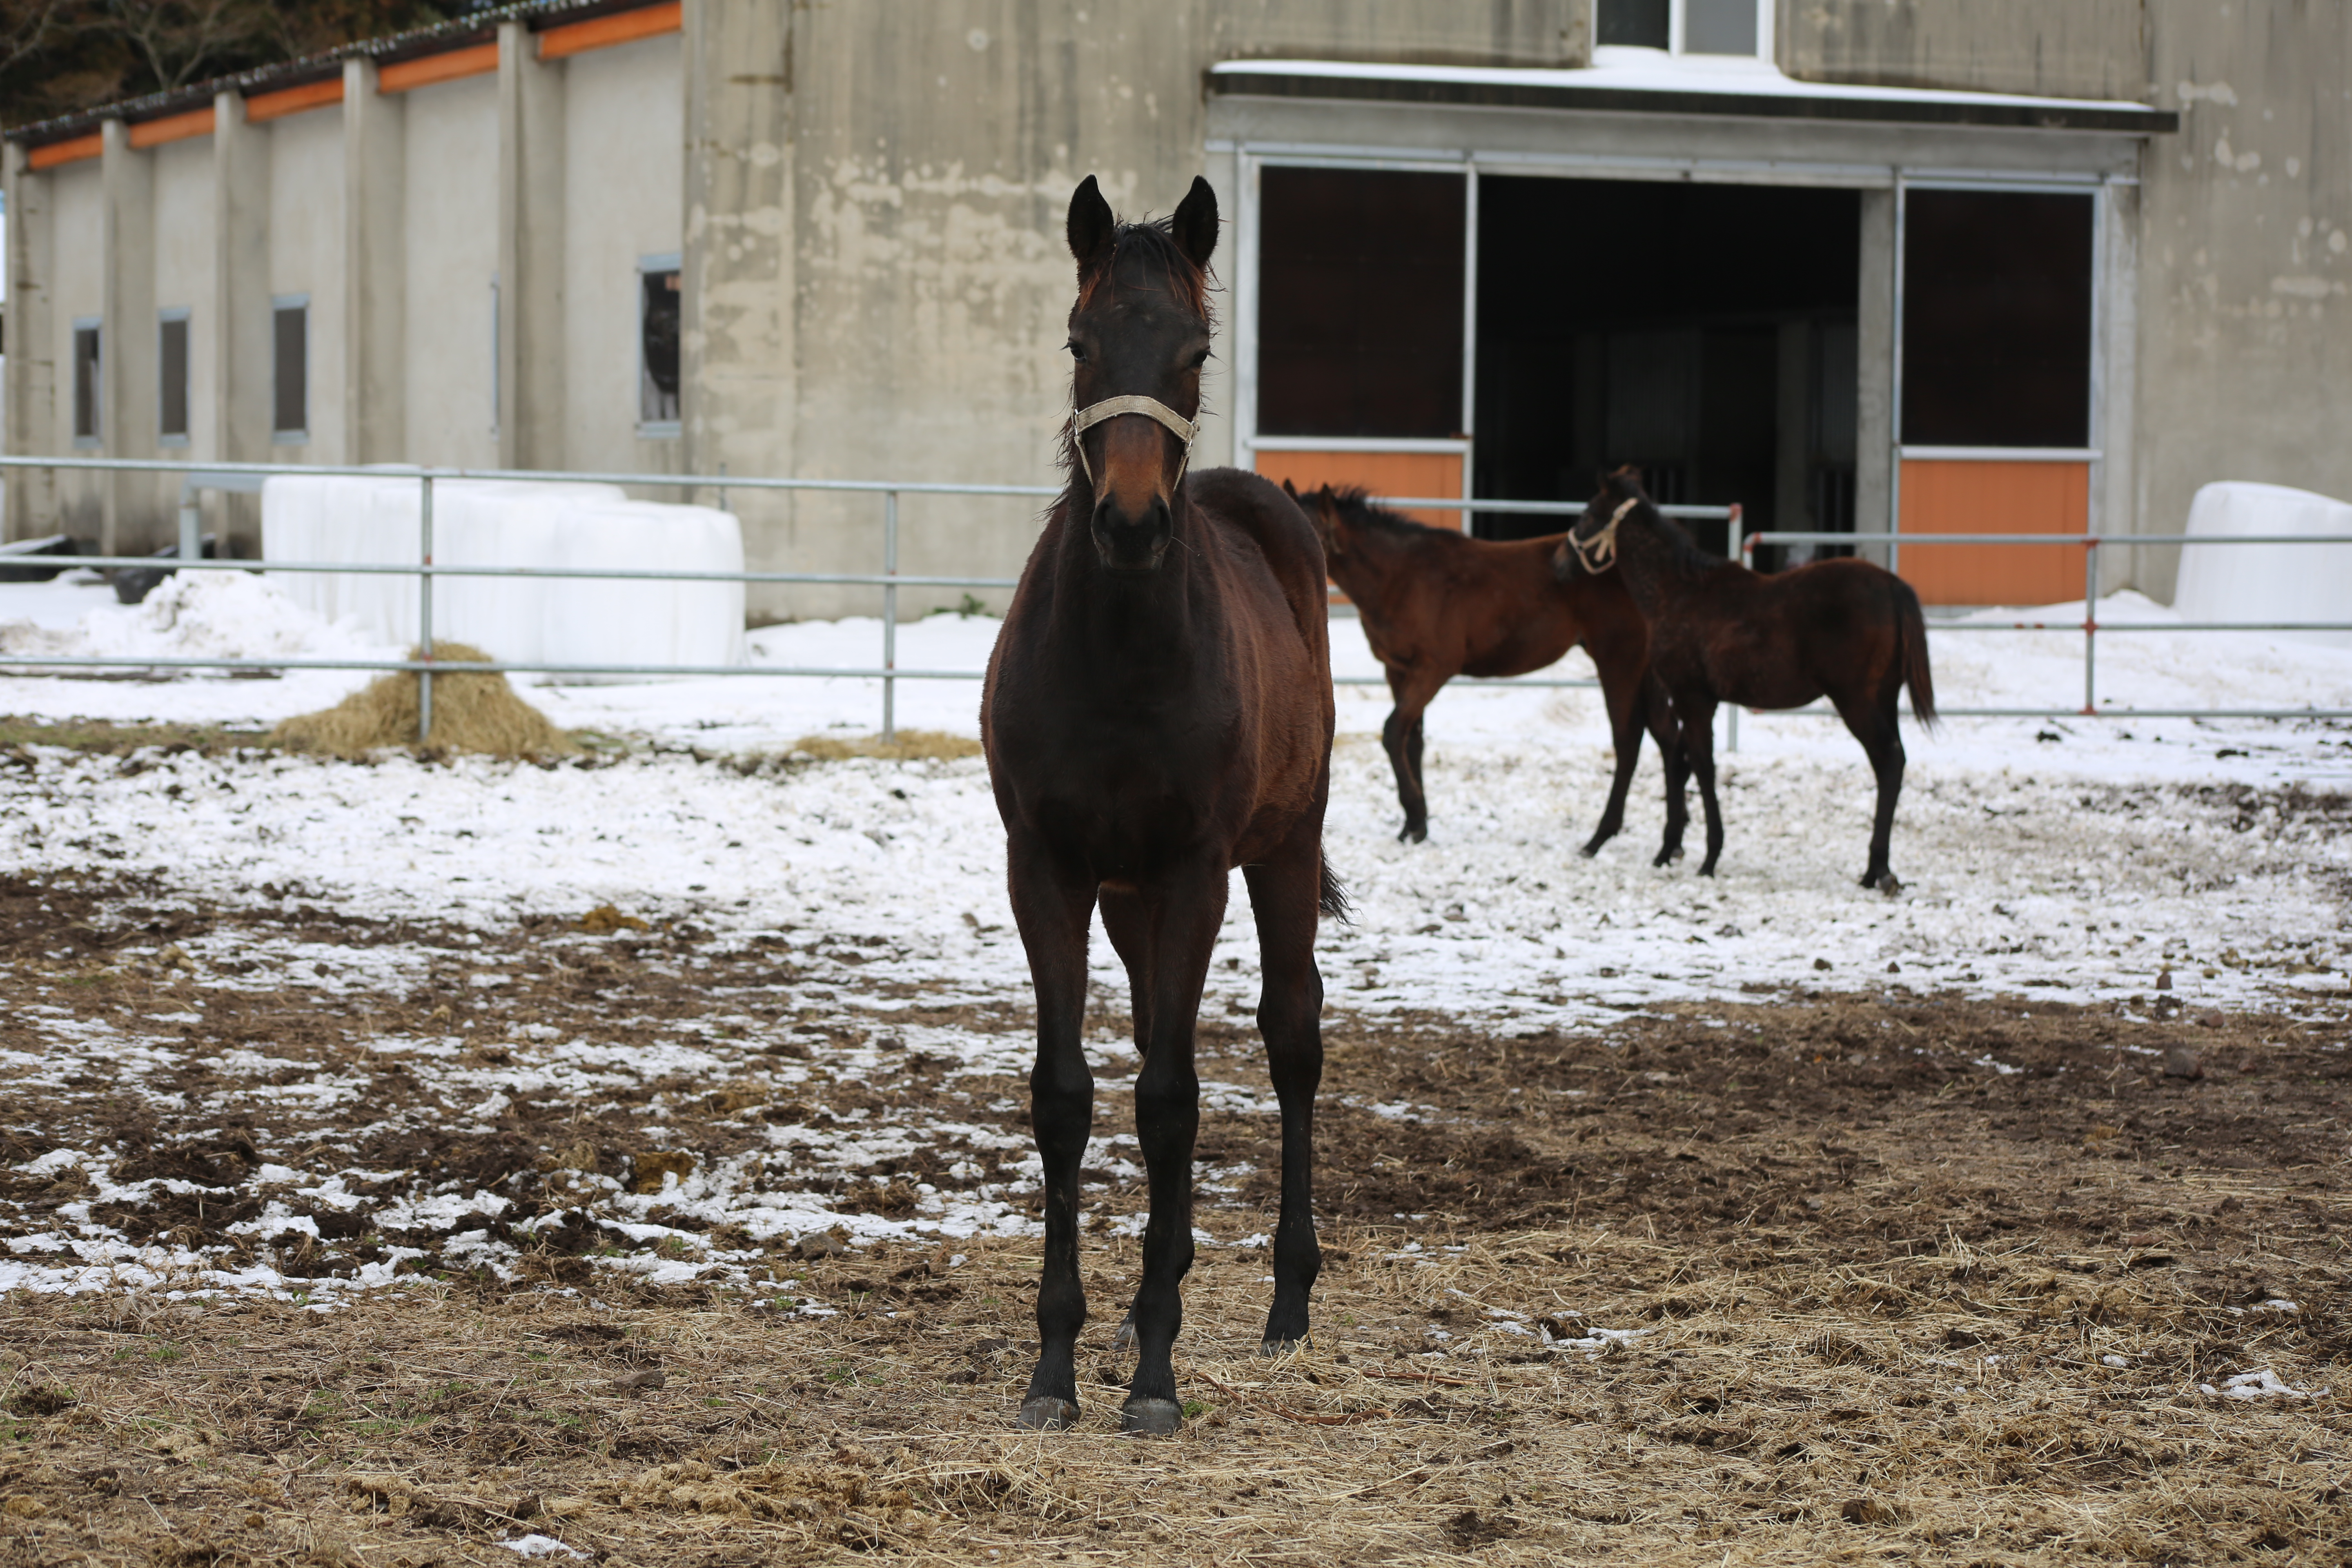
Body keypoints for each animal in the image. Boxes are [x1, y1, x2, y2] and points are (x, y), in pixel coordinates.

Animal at [978, 175, 1345, 1439]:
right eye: (1080, 343)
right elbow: (1070, 1096)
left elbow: (1174, 1102)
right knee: (1149, 1038)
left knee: (1291, 1039)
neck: (1122, 654)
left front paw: (1153, 1376)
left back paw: (1286, 1304)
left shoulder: (1194, 870)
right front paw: (1055, 1364)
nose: (1131, 525)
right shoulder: (1046, 869)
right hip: (1130, 898)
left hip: (1281, 852)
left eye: (1192, 351)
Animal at [1289, 486, 1693, 865]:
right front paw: (1414, 826)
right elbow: (1412, 741)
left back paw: (1600, 838)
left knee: (1628, 741)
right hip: (1643, 669)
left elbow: (1392, 733)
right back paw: (1672, 842)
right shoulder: (1398, 670)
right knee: (1668, 738)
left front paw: (1416, 818)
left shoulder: (1434, 668)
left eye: (1310, 531)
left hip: (1618, 662)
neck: (1402, 577)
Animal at [1561, 465, 1947, 889]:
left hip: (1856, 701)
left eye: (1587, 516)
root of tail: (1894, 586)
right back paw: (1878, 870)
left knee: (1888, 760)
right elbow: (1684, 764)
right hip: (1884, 698)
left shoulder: (1693, 698)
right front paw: (1668, 851)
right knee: (1894, 762)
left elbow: (1703, 767)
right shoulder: (1695, 701)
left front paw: (1709, 858)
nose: (1560, 562)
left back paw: (1876, 869)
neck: (1676, 593)